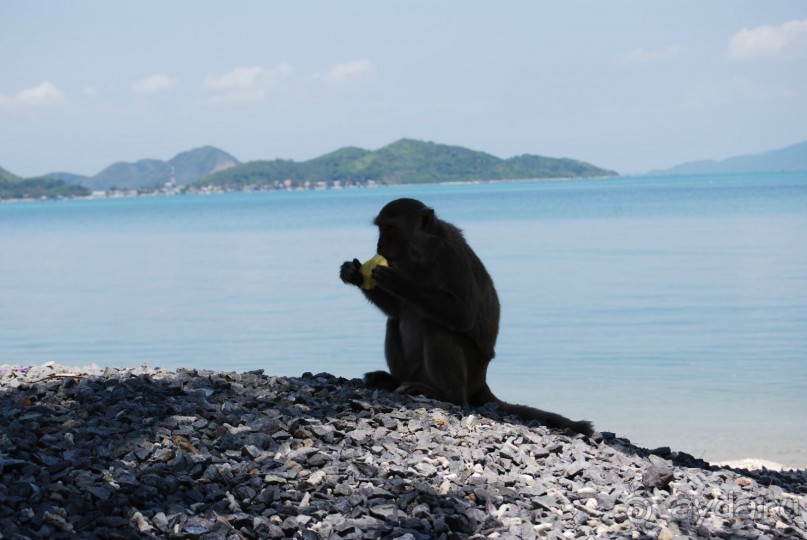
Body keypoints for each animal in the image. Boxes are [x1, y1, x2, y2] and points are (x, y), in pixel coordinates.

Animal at [340, 196, 592, 436]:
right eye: (380, 227)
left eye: (389, 228)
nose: (379, 244)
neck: (421, 250)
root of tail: (481, 380)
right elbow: (397, 310)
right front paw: (353, 273)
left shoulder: (449, 255)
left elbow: (463, 315)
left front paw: (398, 282)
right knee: (394, 322)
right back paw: (394, 380)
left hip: (470, 369)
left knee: (436, 326)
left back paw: (446, 394)